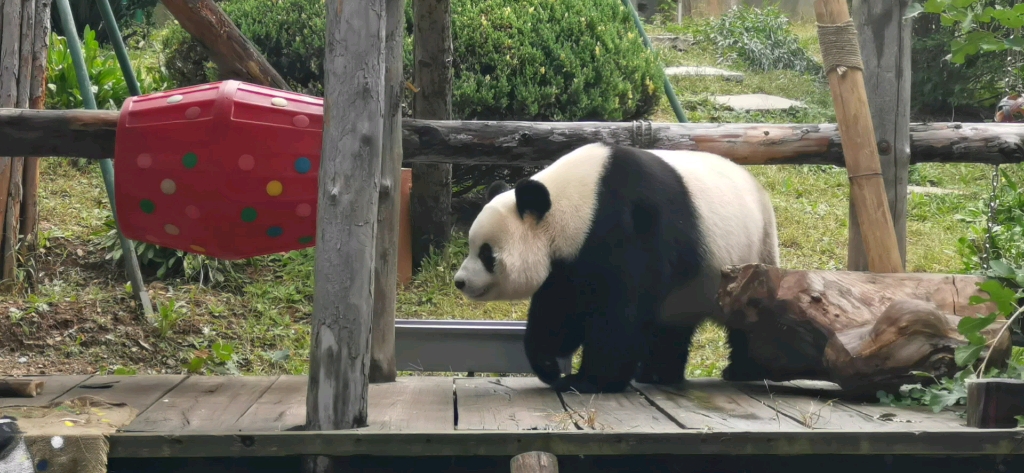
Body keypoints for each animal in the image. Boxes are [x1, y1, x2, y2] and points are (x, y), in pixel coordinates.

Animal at [452, 142, 778, 393]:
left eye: (486, 254)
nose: (460, 281)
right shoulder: (570, 260)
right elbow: (560, 306)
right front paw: (548, 365)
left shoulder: (631, 227)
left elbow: (619, 312)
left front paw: (588, 381)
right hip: (691, 288)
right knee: (671, 327)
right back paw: (657, 374)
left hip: (746, 253)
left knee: (750, 317)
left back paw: (744, 370)